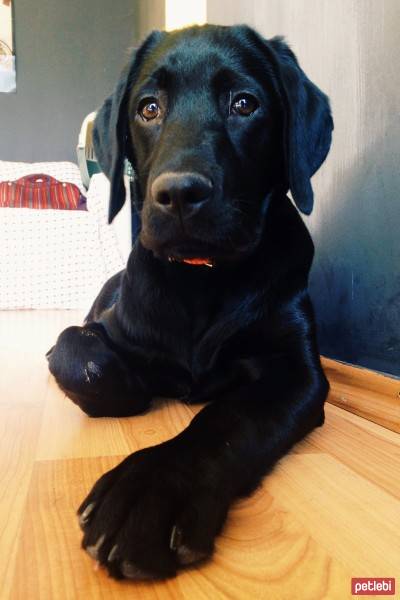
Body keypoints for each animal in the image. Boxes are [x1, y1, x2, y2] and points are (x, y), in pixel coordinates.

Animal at [48, 24, 332, 580]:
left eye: (244, 103)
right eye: (148, 108)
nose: (179, 194)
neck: (201, 280)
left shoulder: (296, 368)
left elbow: (227, 421)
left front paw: (151, 488)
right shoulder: (113, 328)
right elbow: (72, 349)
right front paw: (122, 384)